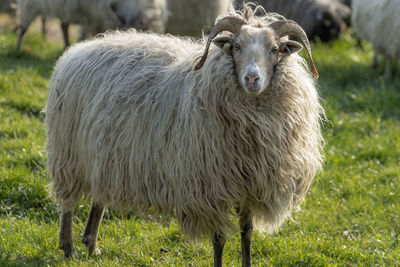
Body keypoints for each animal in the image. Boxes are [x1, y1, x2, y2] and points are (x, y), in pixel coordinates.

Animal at [46, 3, 324, 266]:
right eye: (236, 46)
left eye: (274, 49)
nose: (252, 78)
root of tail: (80, 49)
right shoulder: (209, 188)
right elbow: (219, 238)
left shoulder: (249, 185)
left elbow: (247, 233)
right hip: (68, 155)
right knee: (68, 204)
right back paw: (68, 248)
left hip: (105, 156)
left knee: (99, 198)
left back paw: (91, 244)